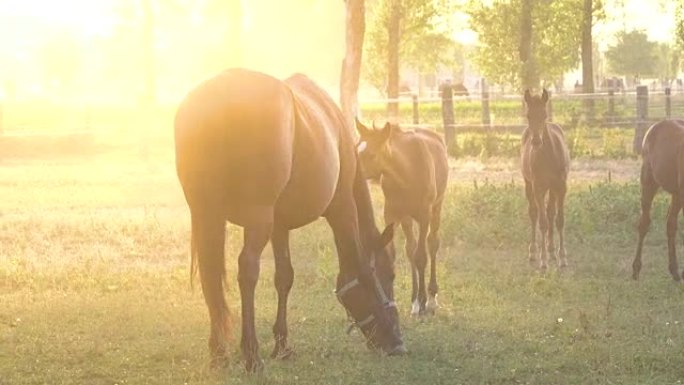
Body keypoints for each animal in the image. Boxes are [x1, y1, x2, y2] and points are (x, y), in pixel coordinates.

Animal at [174, 68, 406, 368]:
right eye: (390, 274)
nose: (398, 340)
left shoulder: (280, 226)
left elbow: (284, 277)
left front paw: (282, 345)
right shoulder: (343, 208)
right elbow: (363, 269)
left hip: (207, 215)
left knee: (210, 276)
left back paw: (219, 353)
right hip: (257, 217)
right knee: (247, 270)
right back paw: (251, 354)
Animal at [352, 120, 448, 316]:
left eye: (372, 154)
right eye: (357, 149)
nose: (354, 175)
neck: (406, 172)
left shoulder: (424, 215)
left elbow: (421, 256)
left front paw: (423, 301)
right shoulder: (392, 215)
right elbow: (394, 254)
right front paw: (409, 302)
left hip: (436, 208)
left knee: (432, 244)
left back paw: (431, 298)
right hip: (406, 218)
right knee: (410, 248)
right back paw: (414, 301)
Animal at [520, 89, 568, 270]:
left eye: (544, 114)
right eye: (528, 115)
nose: (536, 141)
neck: (548, 156)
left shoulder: (561, 187)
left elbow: (559, 219)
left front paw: (562, 257)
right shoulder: (538, 187)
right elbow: (542, 222)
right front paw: (543, 260)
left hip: (552, 189)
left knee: (550, 213)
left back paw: (552, 249)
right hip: (529, 185)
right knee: (534, 213)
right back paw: (534, 251)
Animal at [632, 118, 684, 280]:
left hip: (677, 194)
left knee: (670, 224)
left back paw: (674, 271)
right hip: (648, 182)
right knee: (644, 223)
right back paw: (636, 269)